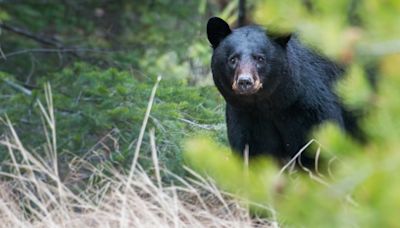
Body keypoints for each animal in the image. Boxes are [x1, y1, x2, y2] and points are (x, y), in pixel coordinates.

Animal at [208, 16, 346, 166]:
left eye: (260, 58)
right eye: (233, 59)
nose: (245, 81)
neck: (271, 105)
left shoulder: (311, 108)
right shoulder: (245, 116)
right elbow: (252, 151)